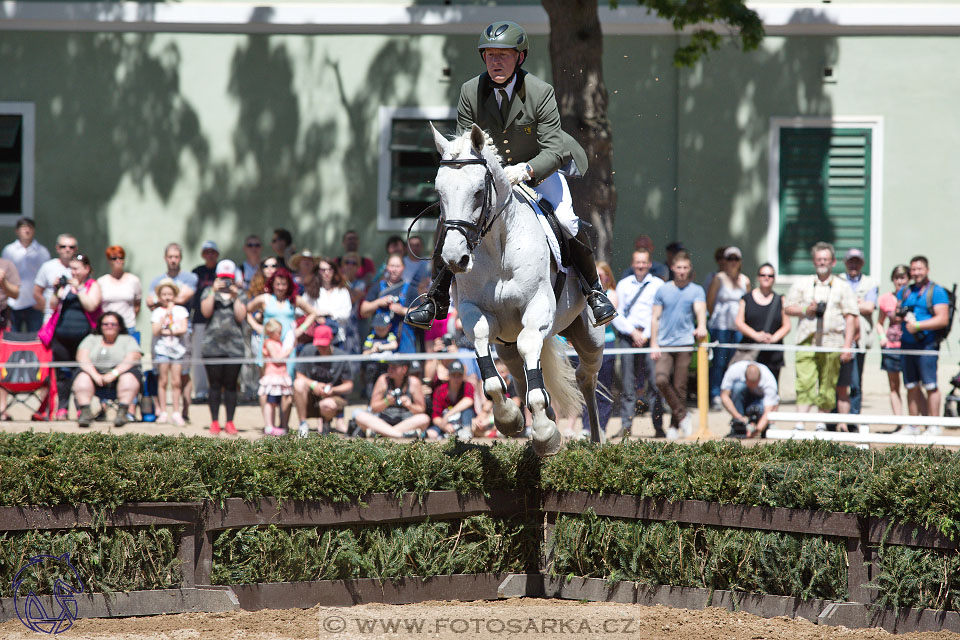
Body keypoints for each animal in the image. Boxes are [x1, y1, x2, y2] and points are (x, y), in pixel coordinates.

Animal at [432, 124, 604, 456]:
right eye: (439, 192)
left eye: (478, 192)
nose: (455, 259)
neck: (497, 245)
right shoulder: (474, 312)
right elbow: (489, 365)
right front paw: (511, 419)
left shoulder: (537, 309)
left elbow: (530, 345)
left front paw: (544, 434)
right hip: (506, 346)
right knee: (520, 374)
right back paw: (546, 425)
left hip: (591, 337)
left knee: (585, 378)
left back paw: (594, 440)